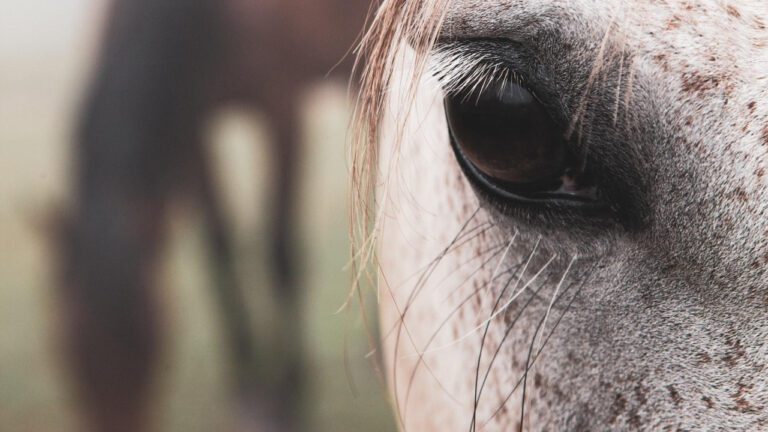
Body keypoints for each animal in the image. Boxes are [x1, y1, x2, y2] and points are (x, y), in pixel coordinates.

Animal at [59, 0, 371, 430]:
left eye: (148, 338)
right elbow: (218, 248)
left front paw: (289, 392)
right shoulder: (194, 122)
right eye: (68, 354)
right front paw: (247, 384)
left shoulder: (280, 105)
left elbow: (279, 251)